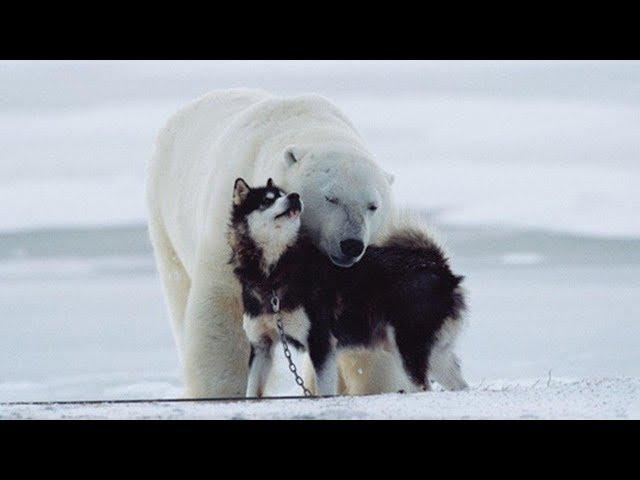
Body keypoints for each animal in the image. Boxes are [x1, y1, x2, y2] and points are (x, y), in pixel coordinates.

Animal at [146, 88, 410, 396]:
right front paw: (222, 393)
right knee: (178, 288)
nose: (352, 244)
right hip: (164, 215)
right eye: (331, 197)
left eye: (373, 206)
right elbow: (223, 314)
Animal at [228, 178, 468, 396]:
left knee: (423, 386)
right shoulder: (261, 346)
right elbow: (252, 393)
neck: (274, 273)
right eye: (267, 200)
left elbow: (324, 391)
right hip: (434, 355)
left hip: (409, 348)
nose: (295, 196)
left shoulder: (320, 342)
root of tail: (437, 265)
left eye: (283, 194)